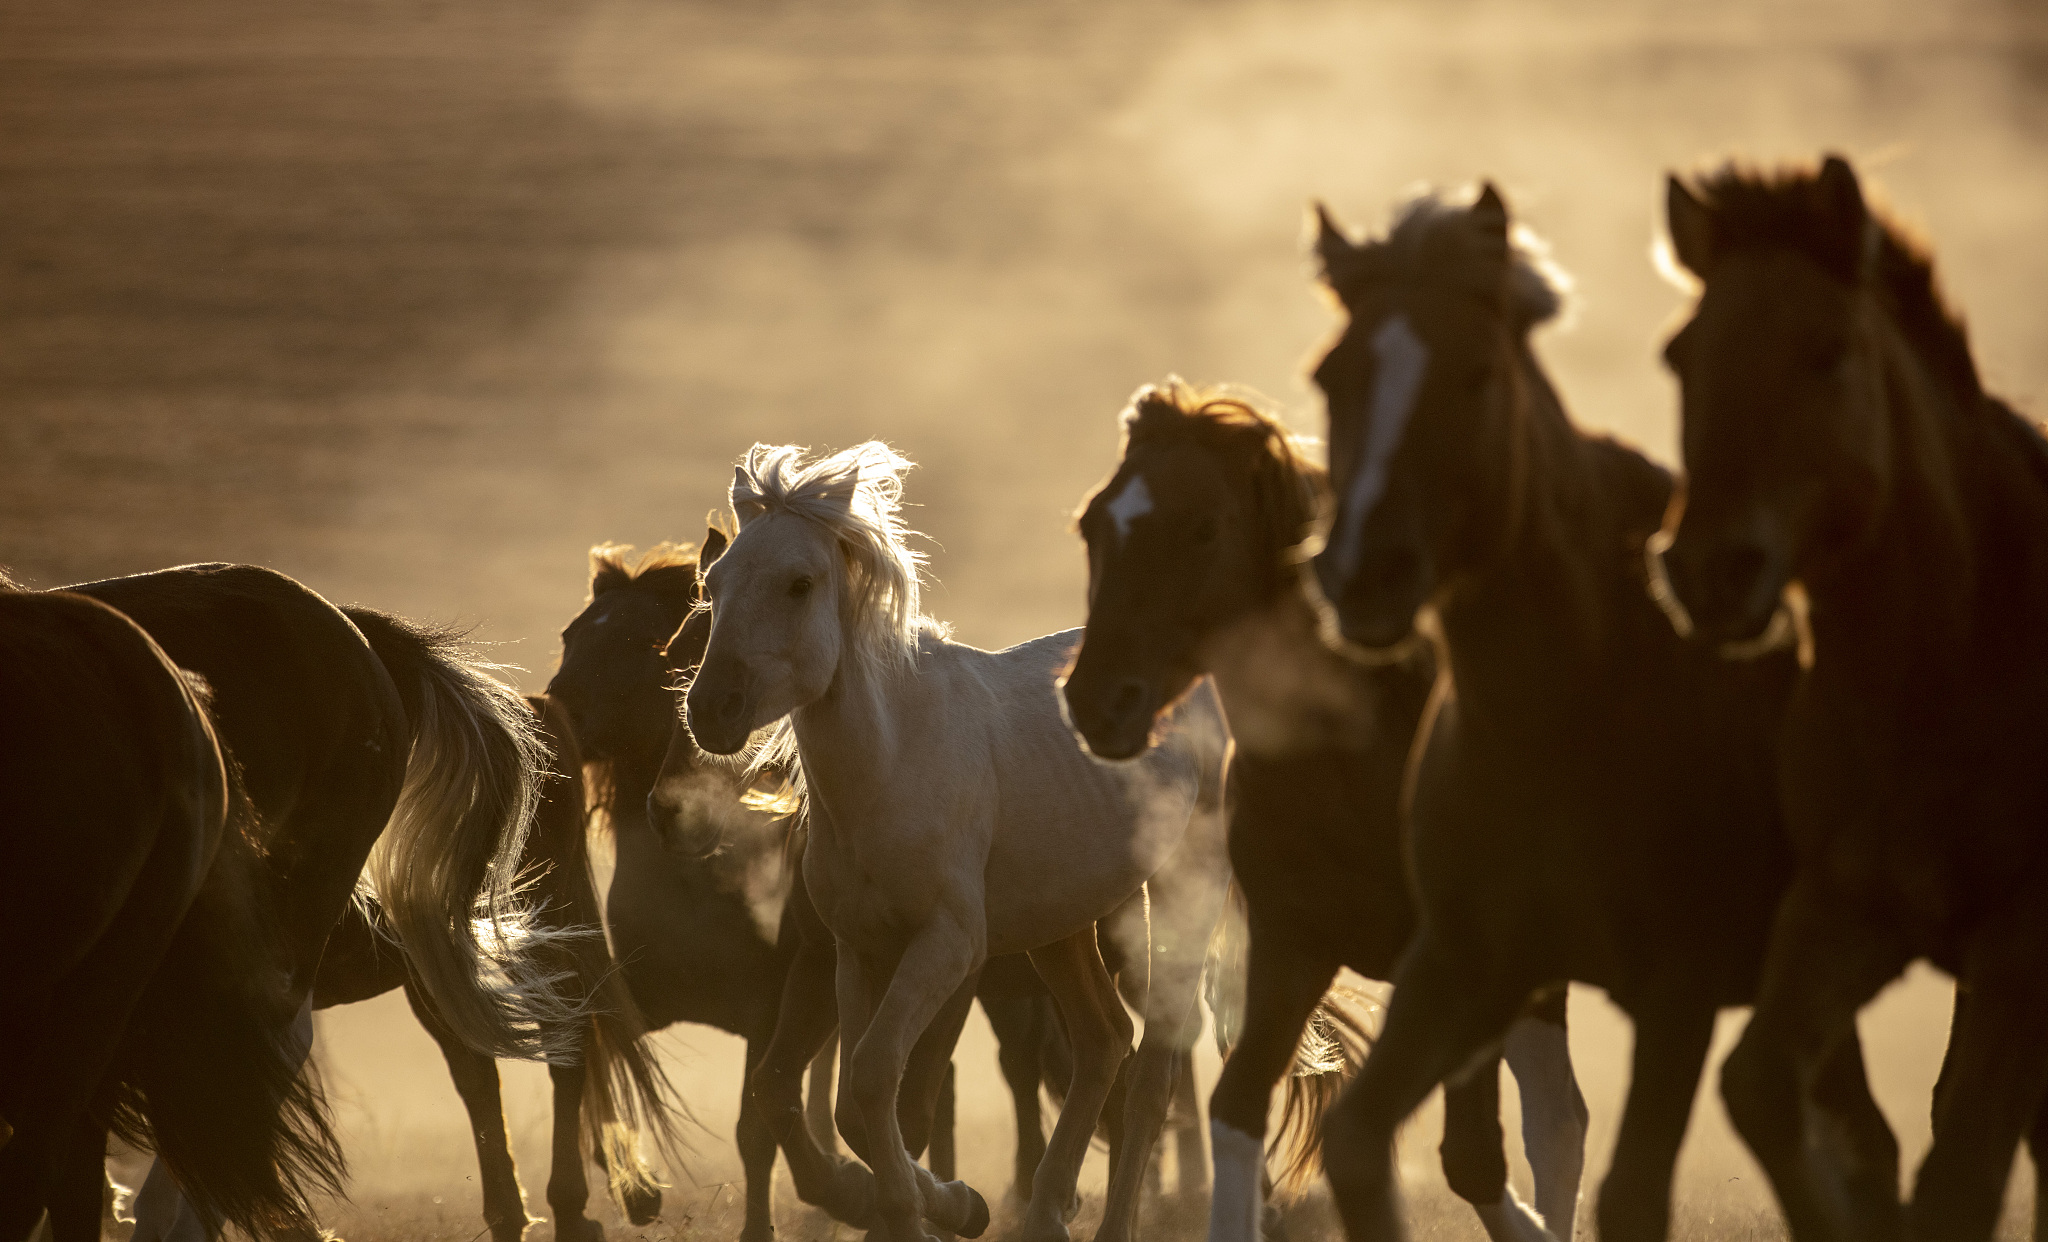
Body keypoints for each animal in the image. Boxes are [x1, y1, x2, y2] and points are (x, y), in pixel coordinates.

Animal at [684, 443, 1233, 1242]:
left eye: (799, 583)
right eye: (714, 583)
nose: (710, 709)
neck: (892, 766)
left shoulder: (948, 945)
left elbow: (876, 1082)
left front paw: (914, 1207)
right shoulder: (859, 949)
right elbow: (853, 1102)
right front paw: (942, 1202)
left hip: (1185, 888)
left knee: (1153, 1074)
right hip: (1059, 926)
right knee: (1103, 1043)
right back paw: (1044, 1215)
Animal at [1060, 380, 1590, 1242]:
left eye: (1204, 528)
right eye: (1094, 523)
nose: (1098, 701)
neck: (1357, 770)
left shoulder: (1454, 973)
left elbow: (1473, 1157)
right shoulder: (1290, 947)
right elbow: (1237, 1107)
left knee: (1556, 1124)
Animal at [1302, 186, 1899, 1242]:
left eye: (1479, 373)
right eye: (1333, 374)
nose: (1368, 572)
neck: (1567, 707)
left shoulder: (1678, 989)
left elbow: (1626, 1193)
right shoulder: (1464, 964)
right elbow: (1365, 1143)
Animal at [1659, 155, 2048, 1242]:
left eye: (1827, 351)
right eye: (1680, 356)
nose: (1709, 571)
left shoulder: (2018, 941)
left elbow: (1960, 1172)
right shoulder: (1845, 906)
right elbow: (1763, 1089)